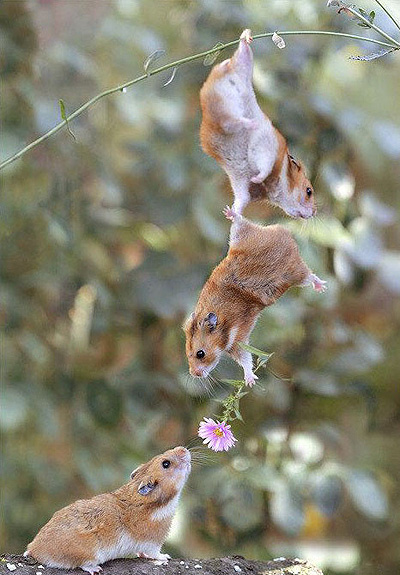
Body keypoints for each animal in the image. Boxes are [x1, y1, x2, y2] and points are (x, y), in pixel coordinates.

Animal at [24, 450, 191, 575]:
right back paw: (96, 569)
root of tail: (34, 549)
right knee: (82, 564)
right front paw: (166, 557)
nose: (184, 449)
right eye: (166, 463)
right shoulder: (153, 542)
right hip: (89, 553)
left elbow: (142, 553)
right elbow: (156, 553)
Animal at [184, 207, 324, 388]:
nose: (194, 374)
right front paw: (250, 382)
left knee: (310, 276)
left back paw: (321, 287)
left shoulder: (238, 340)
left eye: (200, 354)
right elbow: (245, 360)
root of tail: (285, 233)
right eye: (187, 353)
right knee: (241, 221)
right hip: (240, 236)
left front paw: (250, 382)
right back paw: (230, 213)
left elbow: (246, 360)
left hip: (295, 273)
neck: (223, 325)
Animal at [200, 30, 316, 222]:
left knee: (243, 52)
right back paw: (251, 123)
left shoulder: (241, 183)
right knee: (231, 121)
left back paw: (246, 37)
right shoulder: (265, 150)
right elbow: (264, 167)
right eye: (309, 191)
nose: (314, 213)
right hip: (231, 102)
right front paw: (256, 179)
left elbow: (241, 200)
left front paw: (229, 213)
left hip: (243, 67)